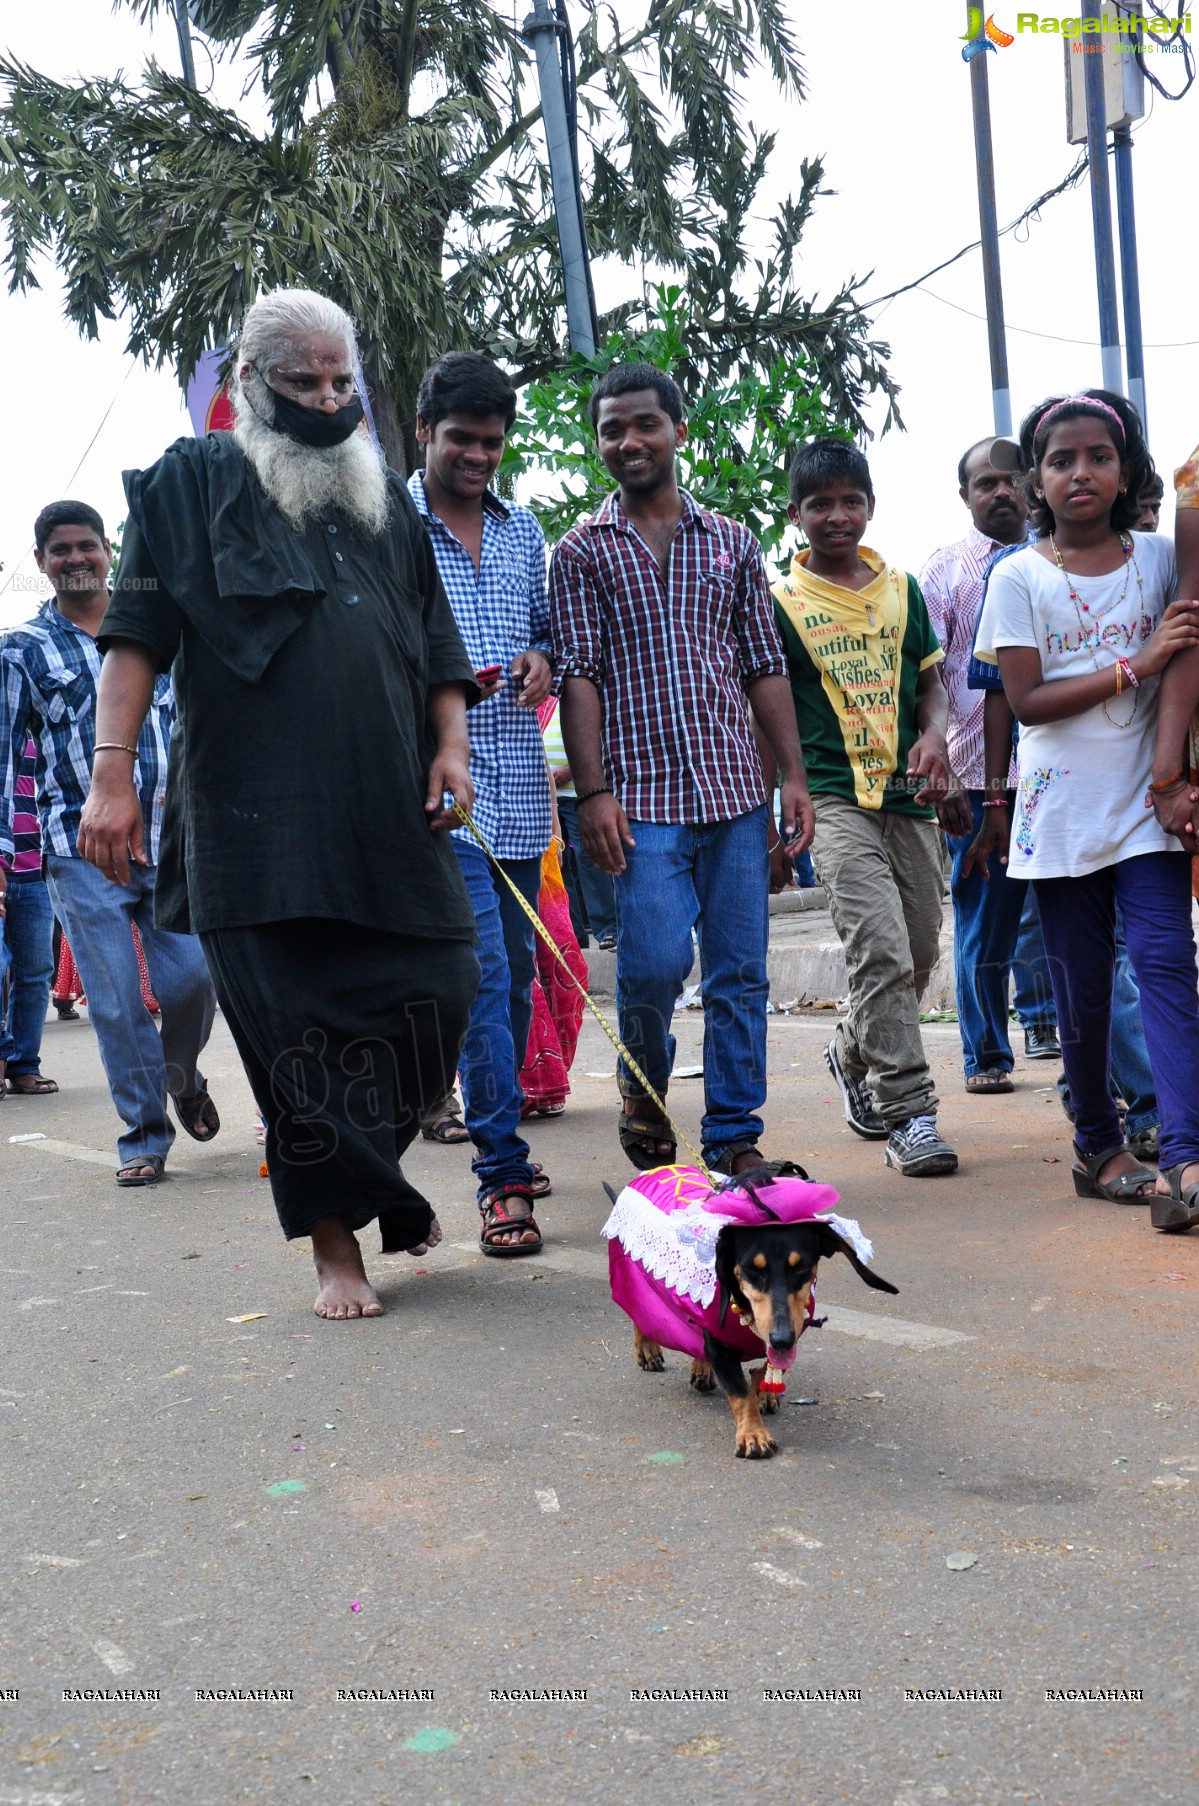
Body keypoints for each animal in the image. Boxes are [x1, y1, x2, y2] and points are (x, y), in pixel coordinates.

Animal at [603, 1163, 895, 1459]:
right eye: (752, 1269)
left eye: (801, 1267)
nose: (781, 1338)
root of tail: (657, 1169)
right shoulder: (720, 1344)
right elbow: (741, 1392)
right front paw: (753, 1434)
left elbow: (765, 1371)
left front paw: (765, 1391)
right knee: (639, 1313)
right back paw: (648, 1349)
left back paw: (702, 1368)